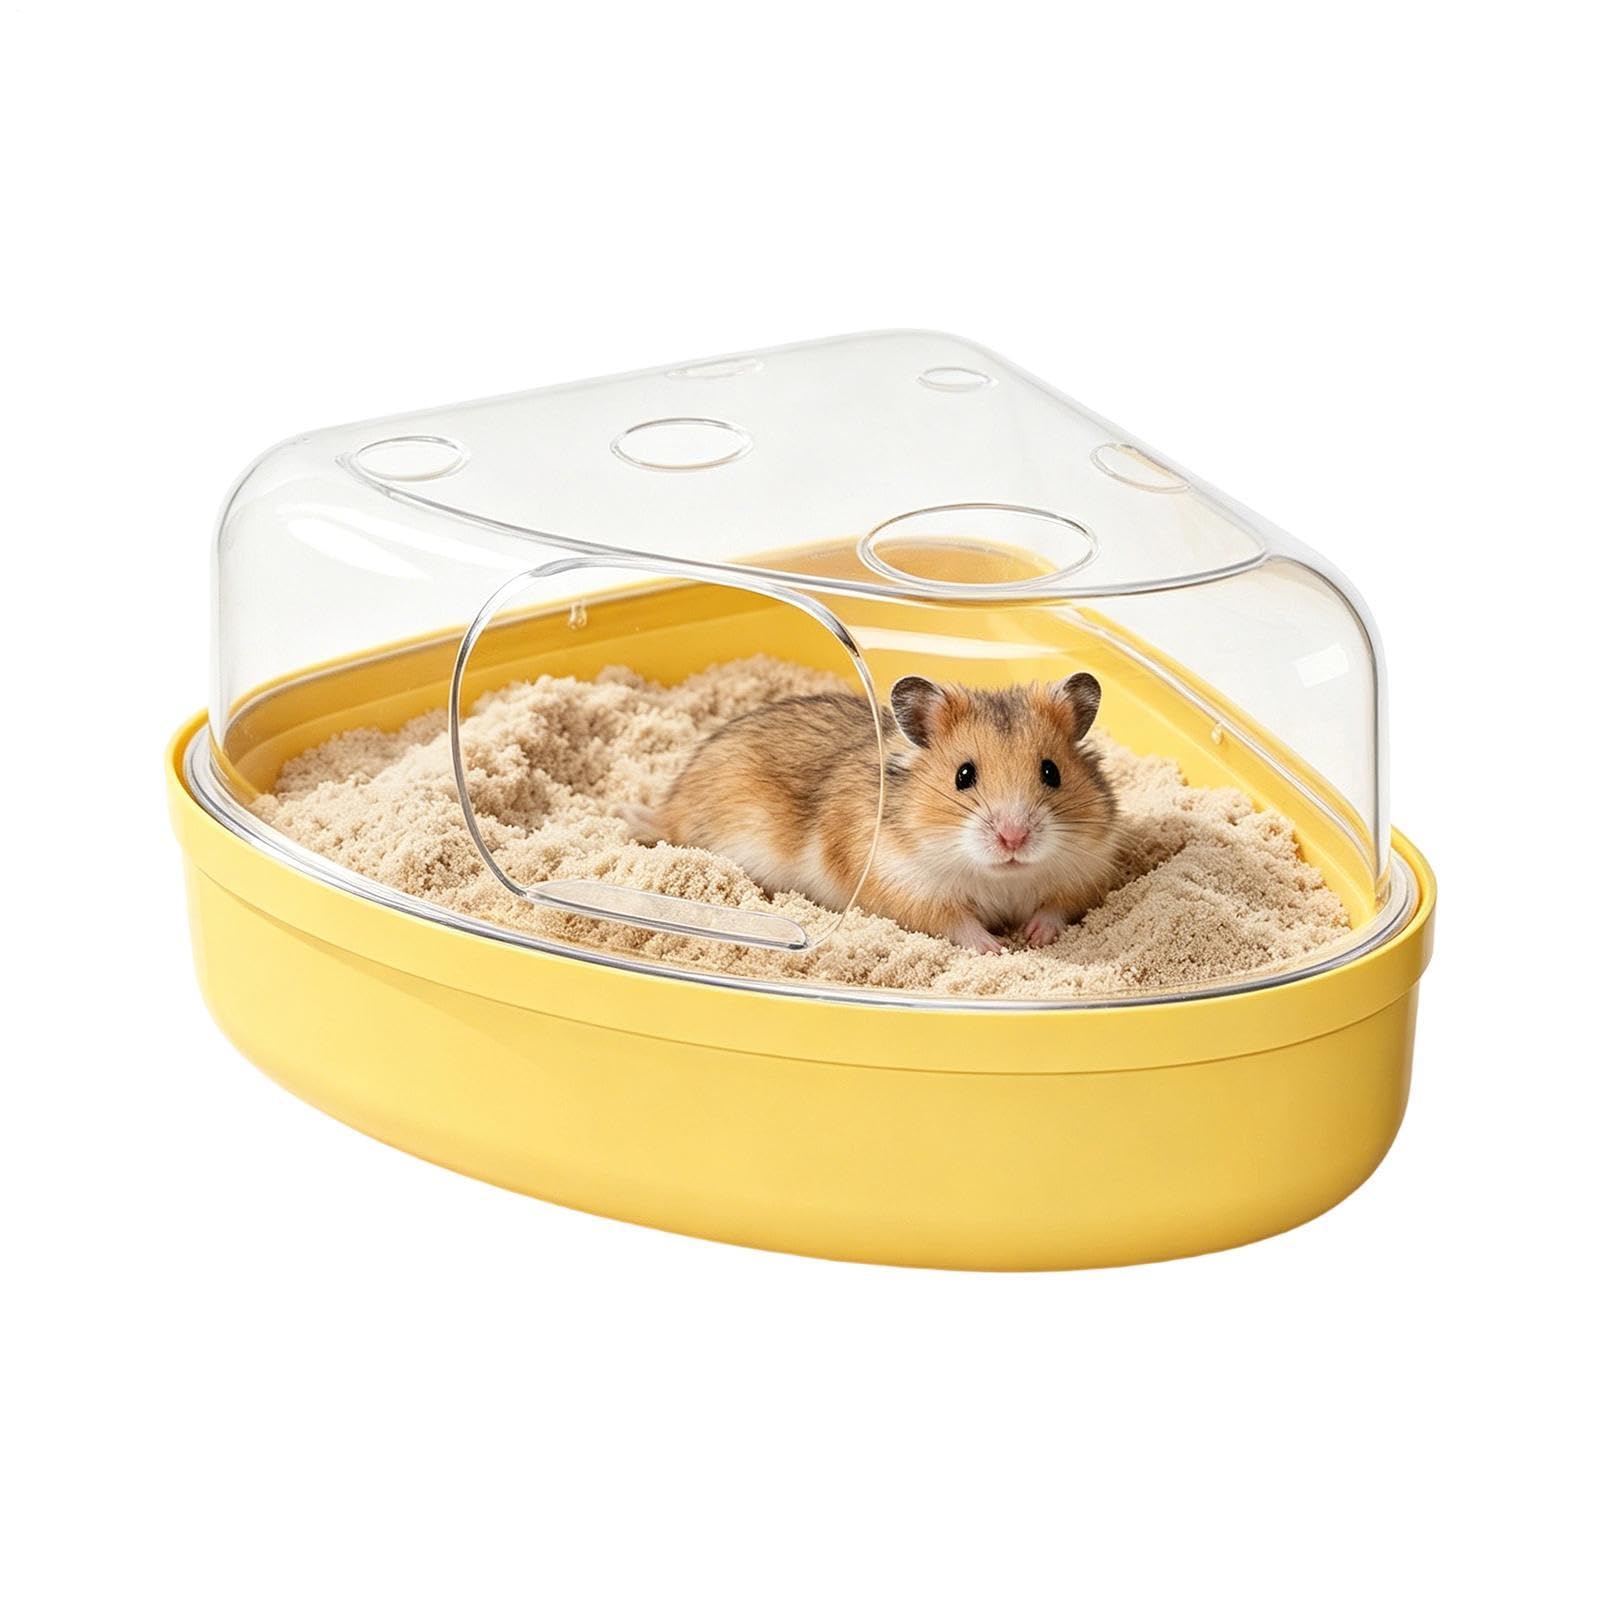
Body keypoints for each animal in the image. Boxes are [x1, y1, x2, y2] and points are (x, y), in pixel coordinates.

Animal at [634, 674, 1121, 952]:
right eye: (963, 775)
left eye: (1051, 772)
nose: (1013, 838)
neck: (1000, 877)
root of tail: (671, 804)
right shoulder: (905, 886)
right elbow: (956, 922)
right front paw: (994, 948)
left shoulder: (1087, 870)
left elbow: (1056, 907)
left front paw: (1035, 935)